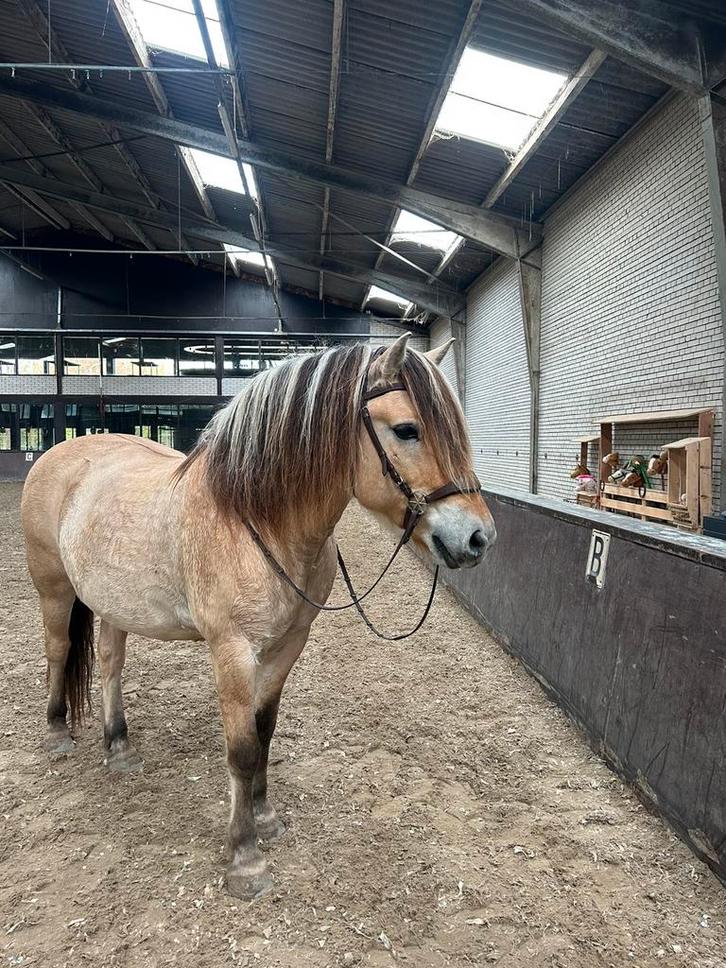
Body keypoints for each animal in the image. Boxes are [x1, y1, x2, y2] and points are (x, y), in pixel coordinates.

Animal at [20, 333, 496, 899]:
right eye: (407, 430)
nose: (478, 538)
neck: (255, 517)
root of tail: (60, 453)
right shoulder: (232, 651)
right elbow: (242, 749)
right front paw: (245, 858)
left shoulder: (288, 644)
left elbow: (264, 731)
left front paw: (266, 818)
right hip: (53, 587)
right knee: (58, 651)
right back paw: (57, 736)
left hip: (113, 602)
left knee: (112, 665)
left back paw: (119, 749)